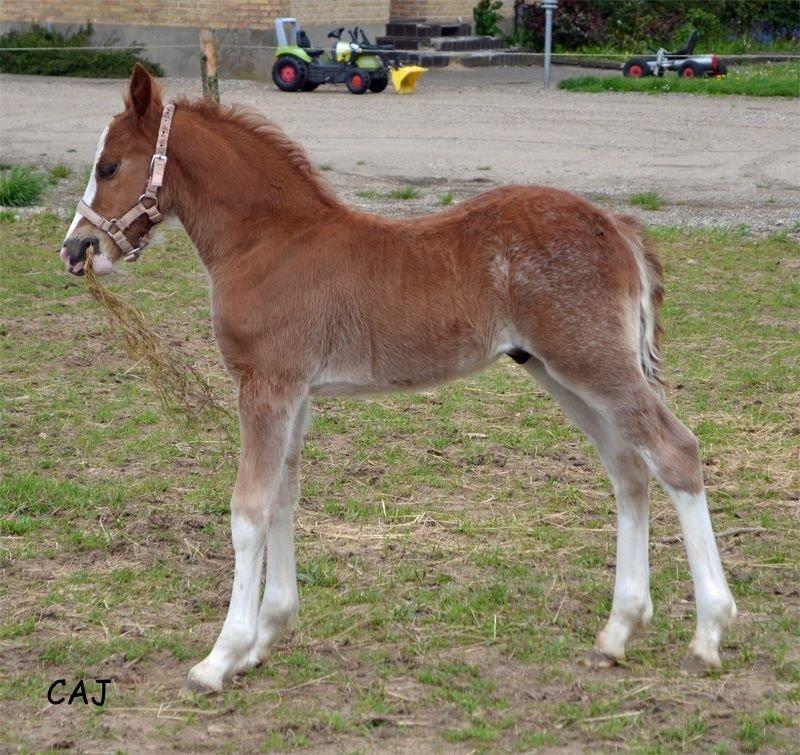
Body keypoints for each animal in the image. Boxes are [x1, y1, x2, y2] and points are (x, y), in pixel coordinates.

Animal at [62, 65, 736, 692]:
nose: (77, 249)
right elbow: (284, 495)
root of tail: (616, 225)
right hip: (560, 373)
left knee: (676, 451)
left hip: (592, 363)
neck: (268, 241)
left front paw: (220, 658)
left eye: (109, 164)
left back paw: (707, 635)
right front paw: (265, 638)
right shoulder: (295, 394)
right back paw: (617, 632)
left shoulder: (266, 387)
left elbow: (248, 510)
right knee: (628, 471)